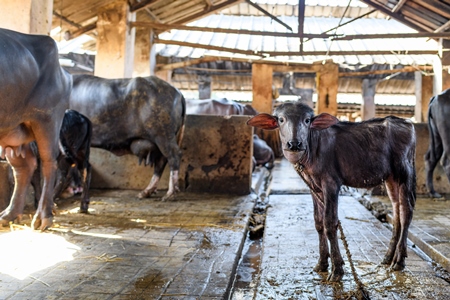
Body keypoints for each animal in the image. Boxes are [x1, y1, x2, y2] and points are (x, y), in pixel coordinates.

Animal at [0, 28, 71, 230]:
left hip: (48, 119)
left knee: (49, 162)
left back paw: (43, 216)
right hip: (12, 128)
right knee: (24, 166)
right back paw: (10, 214)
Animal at [69, 74, 185, 202]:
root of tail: (177, 91)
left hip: (163, 135)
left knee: (173, 156)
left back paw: (170, 193)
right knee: (161, 161)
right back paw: (147, 191)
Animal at [248, 102, 416, 282]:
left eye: (307, 120)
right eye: (281, 119)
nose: (294, 144)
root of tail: (407, 123)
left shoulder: (331, 184)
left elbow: (329, 222)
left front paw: (337, 270)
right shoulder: (313, 187)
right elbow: (318, 222)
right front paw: (322, 264)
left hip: (404, 171)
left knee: (406, 211)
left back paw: (399, 261)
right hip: (391, 178)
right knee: (396, 211)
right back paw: (388, 258)